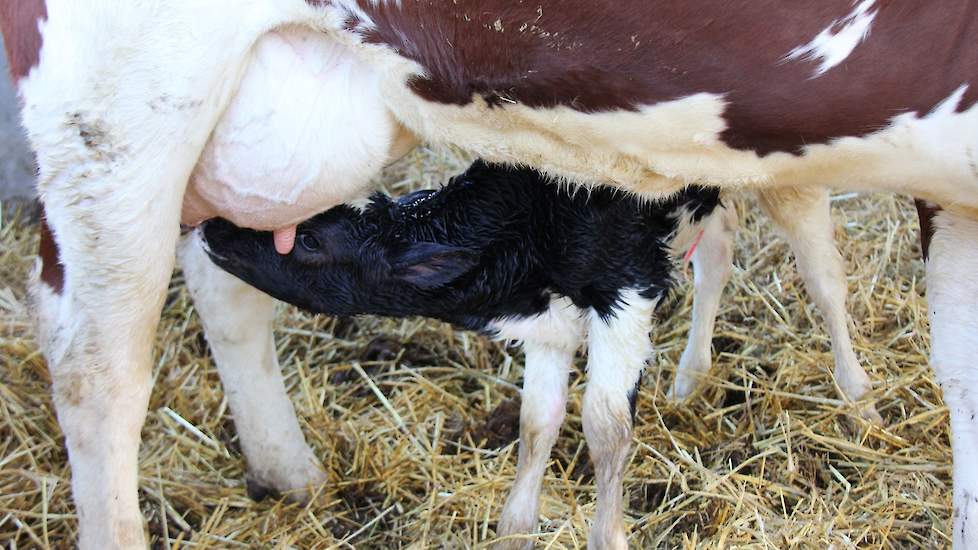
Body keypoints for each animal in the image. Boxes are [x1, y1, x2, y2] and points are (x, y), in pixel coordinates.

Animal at [200, 158, 716, 548]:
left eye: (308, 241)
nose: (211, 228)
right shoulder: (548, 321)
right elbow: (536, 422)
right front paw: (514, 534)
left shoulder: (628, 280)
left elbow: (605, 425)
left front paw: (606, 537)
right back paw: (690, 380)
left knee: (712, 262)